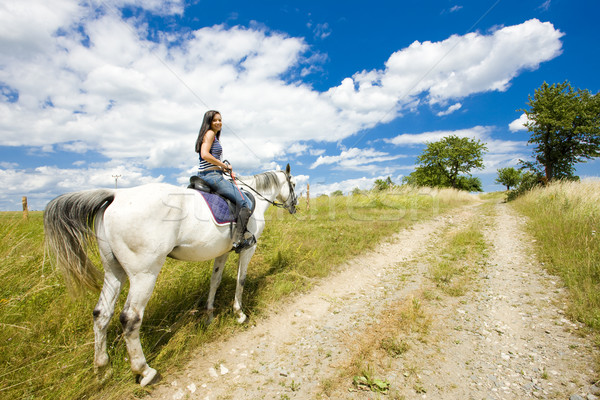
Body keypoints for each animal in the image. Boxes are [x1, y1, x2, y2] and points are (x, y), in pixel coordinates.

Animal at [43, 164, 296, 386]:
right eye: (293, 184)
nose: (295, 207)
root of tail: (116, 194)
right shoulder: (248, 249)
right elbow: (240, 280)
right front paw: (239, 314)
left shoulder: (222, 252)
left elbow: (214, 281)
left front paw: (209, 315)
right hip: (144, 273)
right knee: (130, 318)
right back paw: (145, 372)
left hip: (113, 270)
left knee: (101, 314)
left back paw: (103, 369)